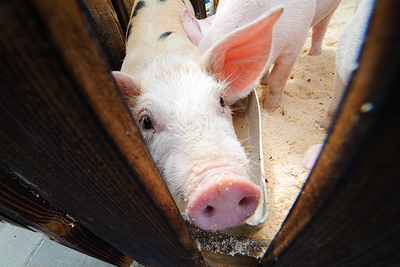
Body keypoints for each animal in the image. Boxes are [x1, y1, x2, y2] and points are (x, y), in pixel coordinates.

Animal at [184, 0, 340, 111]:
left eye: (221, 99)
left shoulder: (295, 43)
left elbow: (277, 81)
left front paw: (269, 109)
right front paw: (264, 82)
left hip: (332, 7)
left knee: (321, 27)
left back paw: (314, 55)